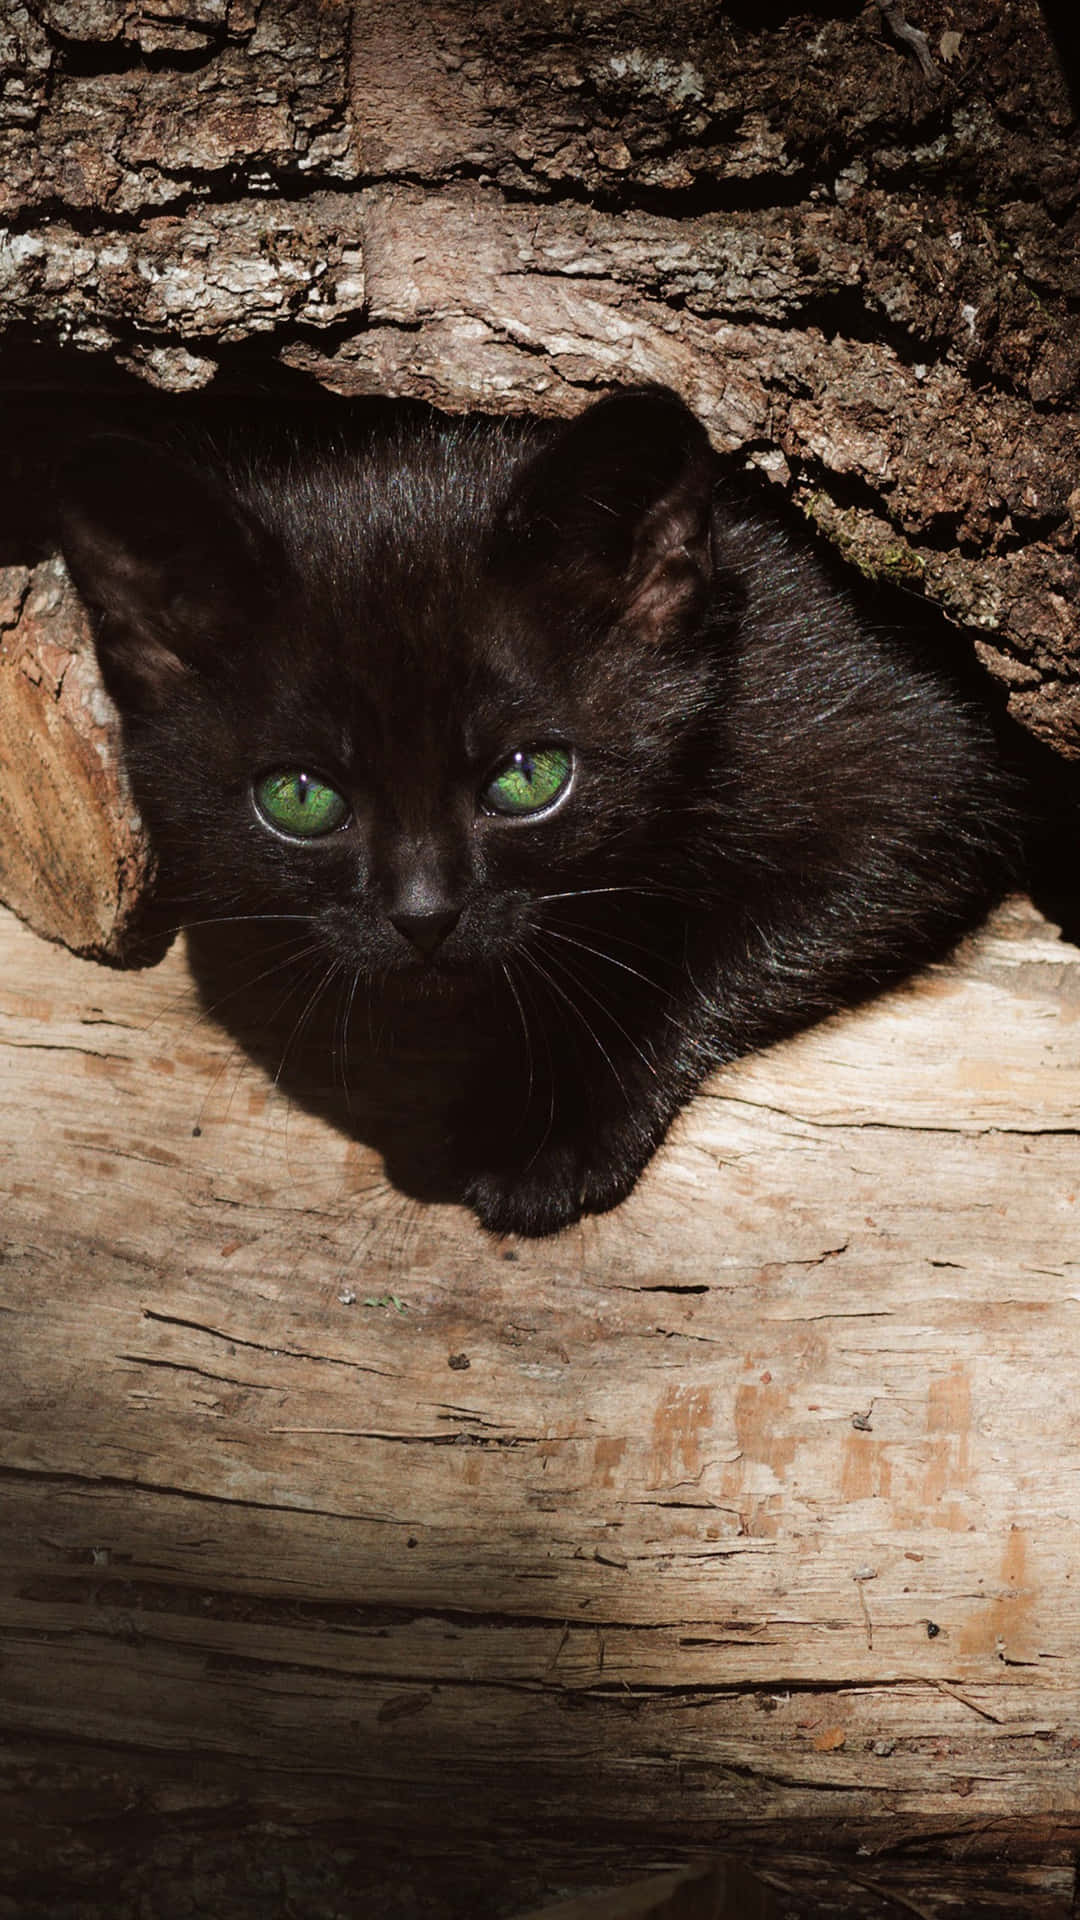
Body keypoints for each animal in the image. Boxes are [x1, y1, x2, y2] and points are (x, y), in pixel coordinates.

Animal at [54, 382, 1014, 1236]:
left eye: (527, 776)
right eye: (301, 798)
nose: (424, 914)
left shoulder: (908, 761)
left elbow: (707, 957)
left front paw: (551, 1131)